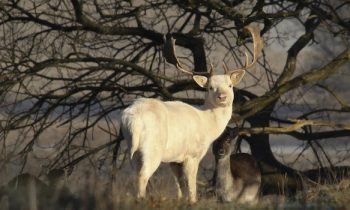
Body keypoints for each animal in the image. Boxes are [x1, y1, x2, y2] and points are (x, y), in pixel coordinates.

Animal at [120, 25, 262, 203]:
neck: (207, 125)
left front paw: (181, 201)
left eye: (230, 85)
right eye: (210, 87)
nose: (222, 97)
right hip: (151, 148)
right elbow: (191, 185)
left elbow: (180, 186)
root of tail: (132, 120)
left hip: (131, 148)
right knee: (143, 176)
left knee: (134, 174)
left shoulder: (175, 159)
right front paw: (193, 202)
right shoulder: (192, 154)